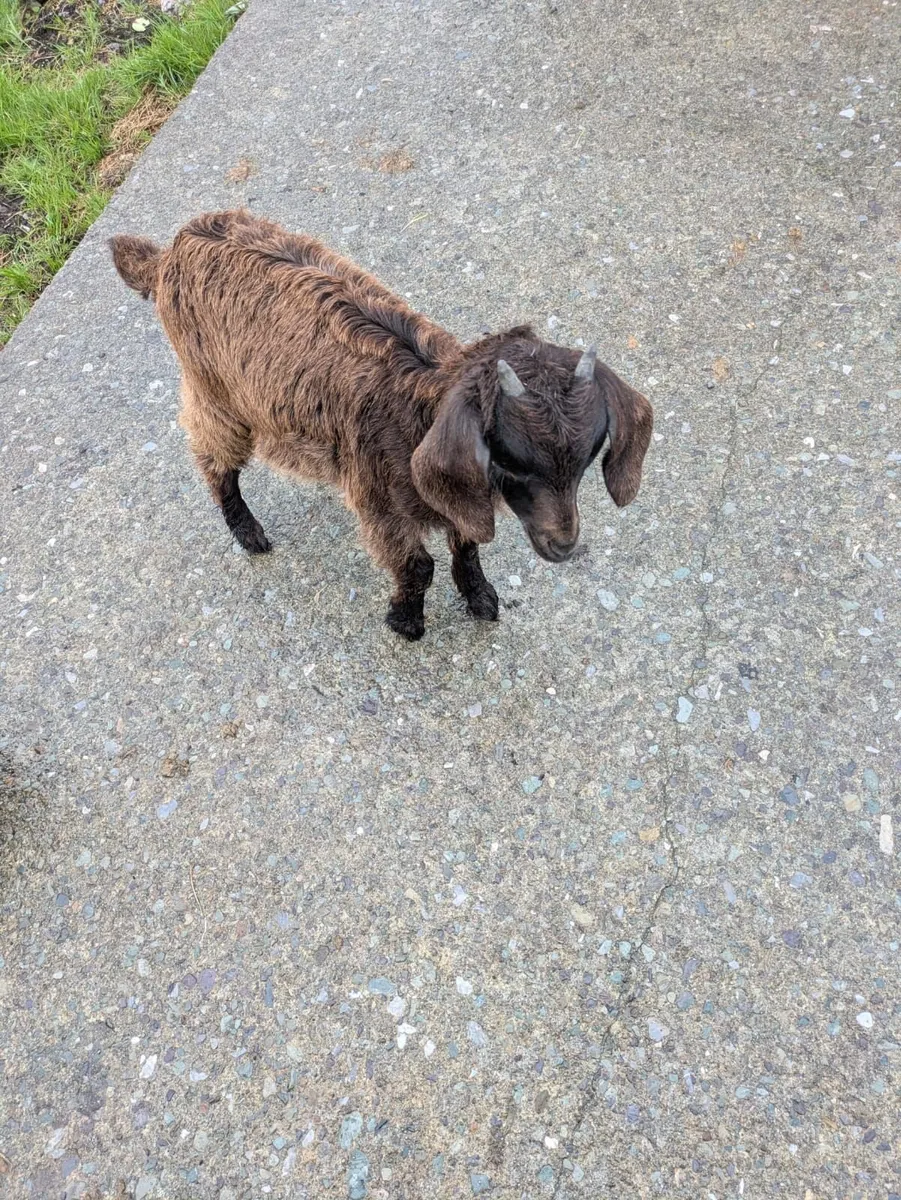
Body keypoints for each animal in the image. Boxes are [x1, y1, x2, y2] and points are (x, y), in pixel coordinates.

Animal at [110, 210, 653, 640]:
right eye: (511, 462)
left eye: (586, 462)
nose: (563, 546)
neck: (415, 408)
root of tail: (168, 253)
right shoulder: (377, 495)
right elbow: (418, 565)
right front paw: (406, 622)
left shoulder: (453, 490)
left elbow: (467, 543)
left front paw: (480, 597)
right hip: (215, 391)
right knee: (212, 455)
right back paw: (248, 532)